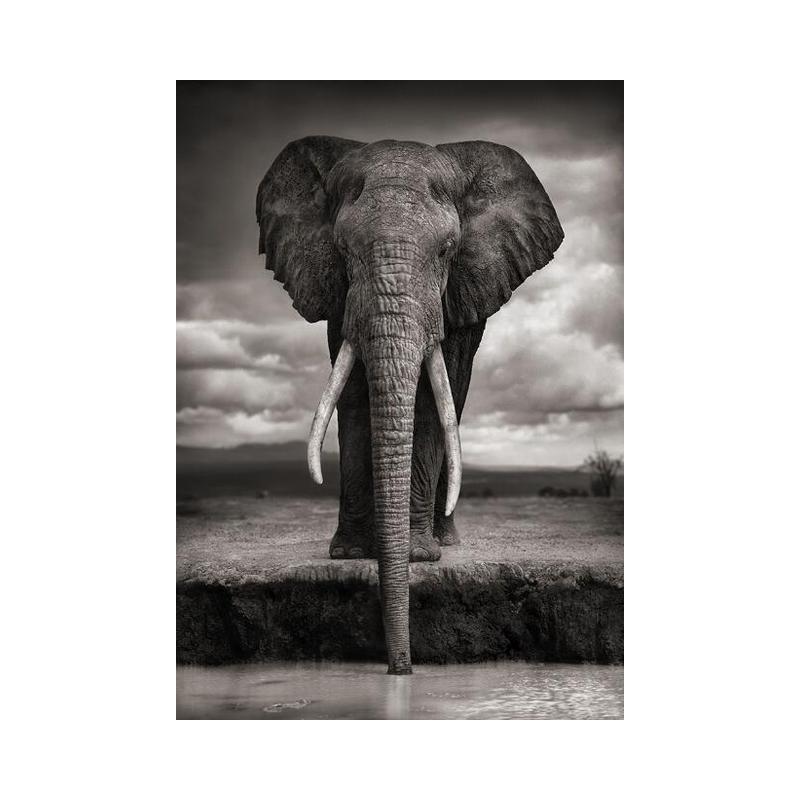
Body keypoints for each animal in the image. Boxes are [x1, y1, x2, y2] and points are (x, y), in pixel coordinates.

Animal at [256, 136, 563, 674]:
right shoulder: (340, 296)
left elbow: (430, 403)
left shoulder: (457, 291)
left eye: (447, 251)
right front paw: (351, 554)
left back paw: (444, 541)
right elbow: (353, 394)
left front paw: (419, 557)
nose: (401, 668)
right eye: (342, 250)